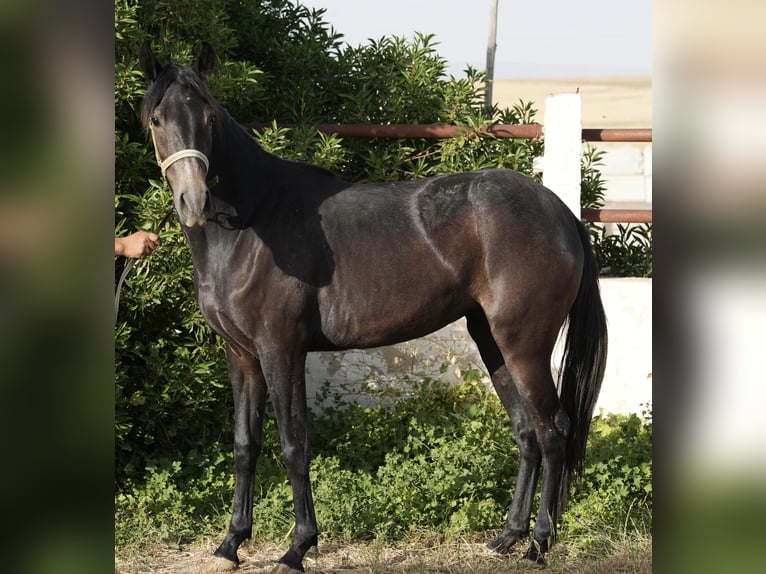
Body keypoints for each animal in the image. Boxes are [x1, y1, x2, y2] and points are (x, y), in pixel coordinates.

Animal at [136, 41, 608, 574]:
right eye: (157, 118)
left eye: (209, 117)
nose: (193, 200)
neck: (252, 224)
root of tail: (560, 211)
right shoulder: (242, 357)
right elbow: (245, 445)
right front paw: (231, 543)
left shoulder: (281, 350)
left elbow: (294, 444)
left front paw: (297, 547)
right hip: (492, 341)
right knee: (527, 432)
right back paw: (507, 537)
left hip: (524, 346)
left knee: (553, 431)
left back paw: (539, 544)